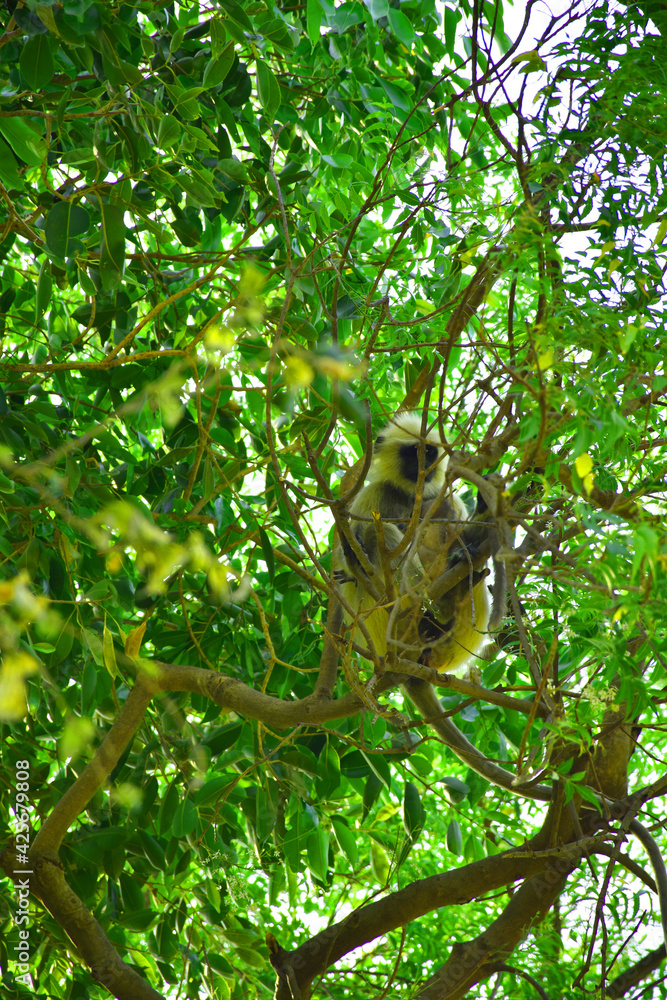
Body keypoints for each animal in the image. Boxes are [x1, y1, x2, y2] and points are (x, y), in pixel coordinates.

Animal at [333, 411, 506, 674]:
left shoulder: (445, 495)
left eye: (430, 452)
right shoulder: (373, 493)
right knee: (379, 535)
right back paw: (440, 610)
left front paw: (485, 503)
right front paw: (353, 559)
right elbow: (350, 560)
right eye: (413, 452)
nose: (424, 466)